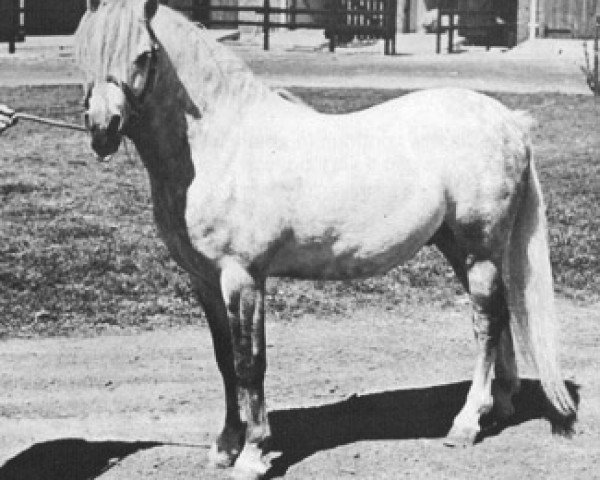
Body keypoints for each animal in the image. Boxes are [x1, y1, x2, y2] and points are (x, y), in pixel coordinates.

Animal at [75, 1, 576, 478]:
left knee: (486, 324)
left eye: (144, 54)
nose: (102, 129)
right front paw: (224, 447)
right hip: (458, 247)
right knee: (502, 316)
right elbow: (224, 361)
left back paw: (467, 423)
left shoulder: (244, 278)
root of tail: (508, 120)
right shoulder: (204, 281)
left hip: (479, 250)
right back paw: (501, 406)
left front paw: (253, 454)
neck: (223, 144)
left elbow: (248, 363)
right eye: (85, 51)